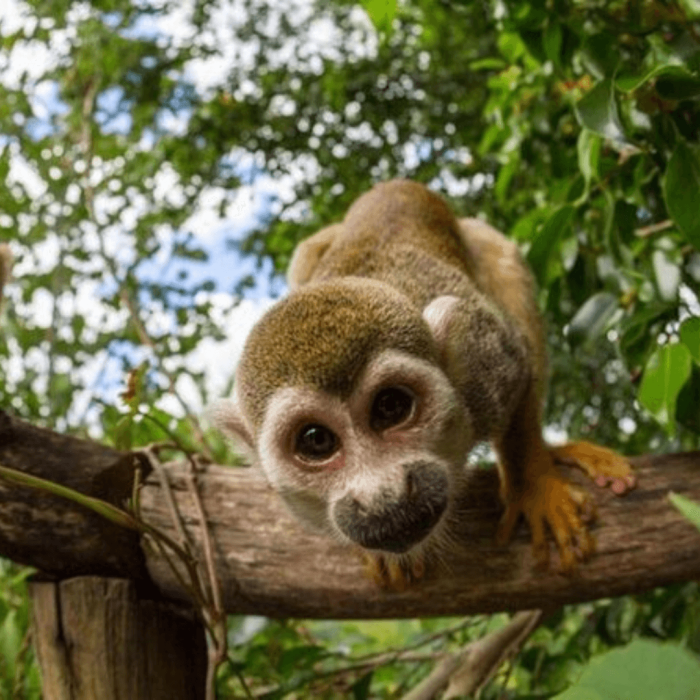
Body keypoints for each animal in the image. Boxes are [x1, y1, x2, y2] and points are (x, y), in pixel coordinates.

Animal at [211, 180, 635, 590]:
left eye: (391, 407)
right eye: (316, 441)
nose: (383, 497)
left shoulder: (486, 365)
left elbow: (520, 365)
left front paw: (534, 484)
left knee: (503, 258)